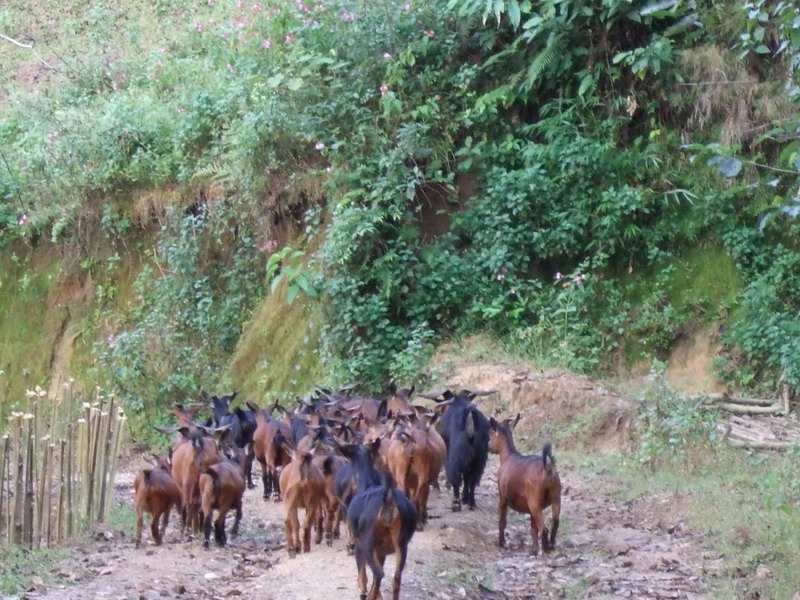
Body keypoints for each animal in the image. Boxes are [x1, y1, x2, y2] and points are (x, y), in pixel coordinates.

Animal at [342, 438, 418, 600]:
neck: (367, 484)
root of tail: (388, 499)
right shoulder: (381, 551)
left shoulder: (359, 544)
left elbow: (363, 577)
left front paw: (364, 593)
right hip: (401, 543)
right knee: (396, 577)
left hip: (367, 542)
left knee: (378, 574)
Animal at [488, 414, 564, 556]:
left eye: (490, 434)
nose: (488, 445)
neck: (508, 456)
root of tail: (547, 469)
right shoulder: (530, 508)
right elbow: (533, 528)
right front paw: (534, 547)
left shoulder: (502, 498)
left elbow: (502, 522)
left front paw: (501, 543)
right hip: (555, 499)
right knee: (555, 521)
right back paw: (551, 545)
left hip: (535, 503)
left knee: (544, 529)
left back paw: (545, 548)